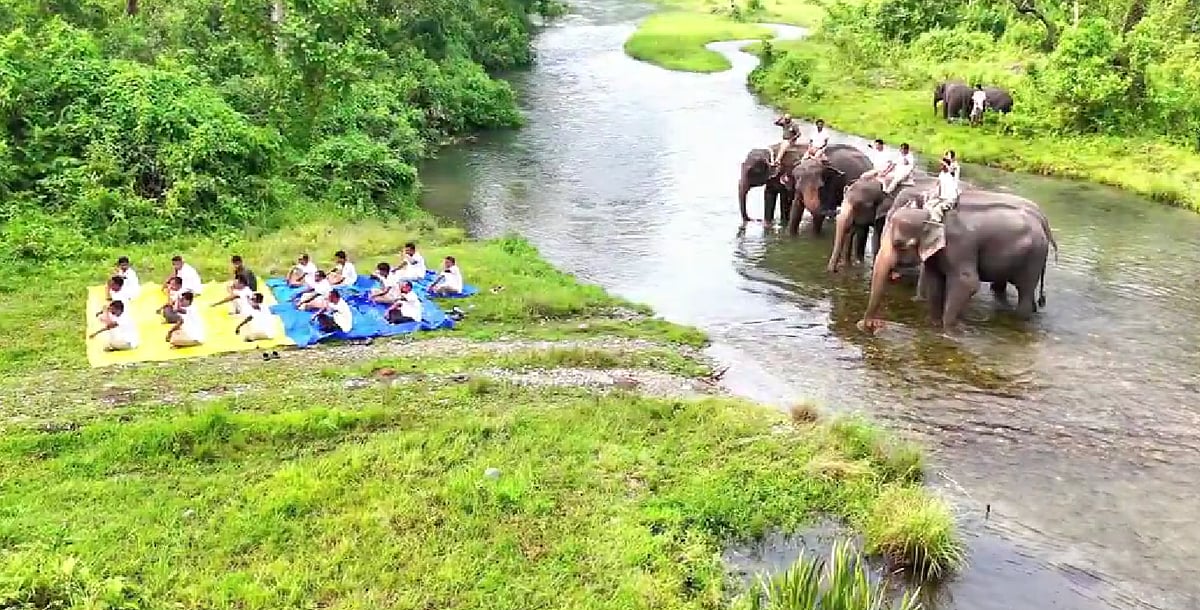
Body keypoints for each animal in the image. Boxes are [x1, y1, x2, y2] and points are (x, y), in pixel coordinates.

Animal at [859, 191, 1059, 334]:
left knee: (1024, 292)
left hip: (1034, 257)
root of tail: (1044, 224)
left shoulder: (959, 247)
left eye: (899, 243)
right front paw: (933, 324)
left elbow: (968, 283)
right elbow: (935, 282)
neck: (932, 214)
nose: (869, 325)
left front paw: (949, 330)